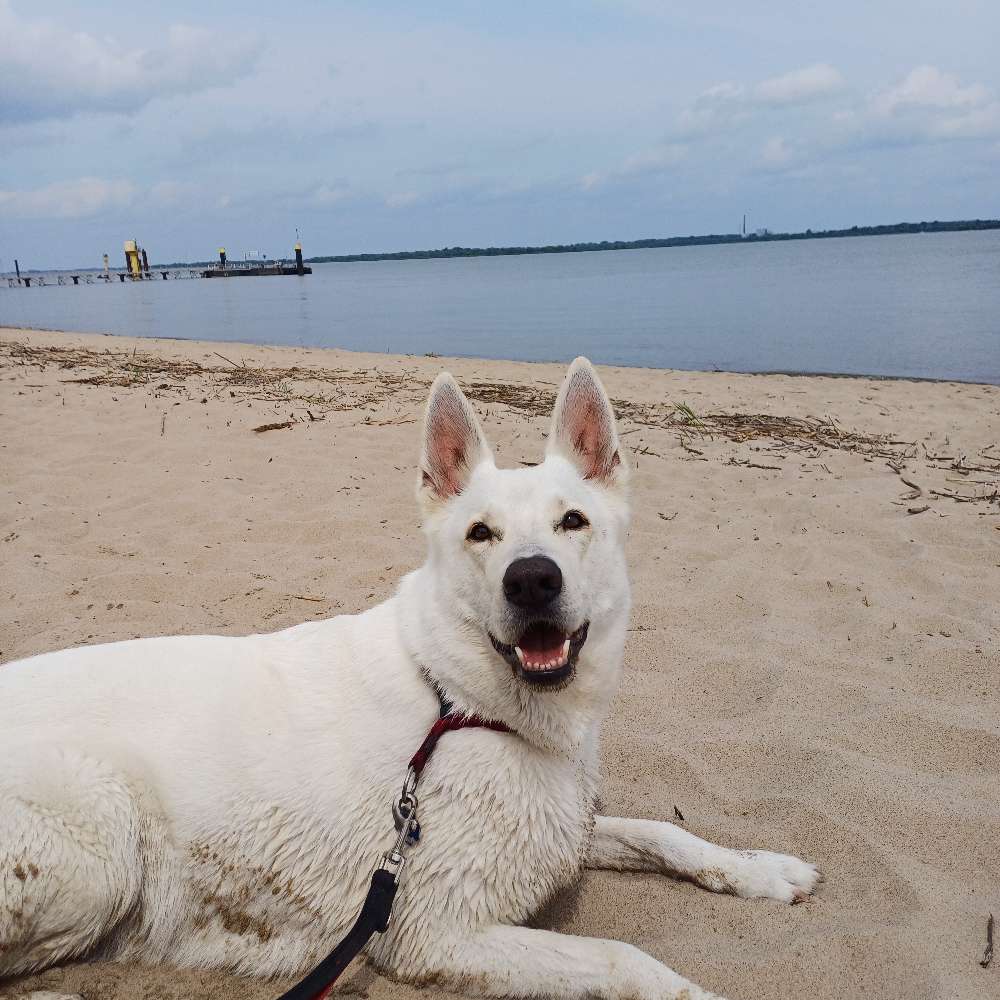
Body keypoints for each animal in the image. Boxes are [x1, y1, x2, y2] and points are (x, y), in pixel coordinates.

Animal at [0, 360, 816, 1000]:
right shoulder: (439, 935)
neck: (460, 705)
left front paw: (760, 871)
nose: (532, 580)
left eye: (573, 522)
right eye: (480, 533)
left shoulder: (562, 828)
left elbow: (661, 834)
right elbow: (625, 960)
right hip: (104, 832)